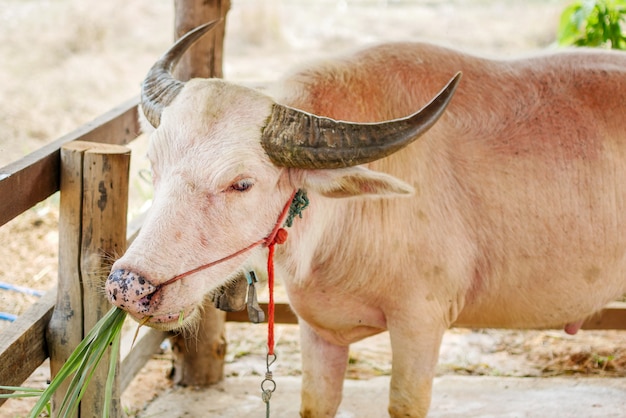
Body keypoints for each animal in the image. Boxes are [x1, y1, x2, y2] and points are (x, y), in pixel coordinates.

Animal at [106, 22, 624, 418]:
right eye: (153, 163)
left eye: (242, 183)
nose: (129, 286)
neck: (342, 228)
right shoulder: (317, 329)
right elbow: (315, 404)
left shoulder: (421, 322)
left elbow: (405, 405)